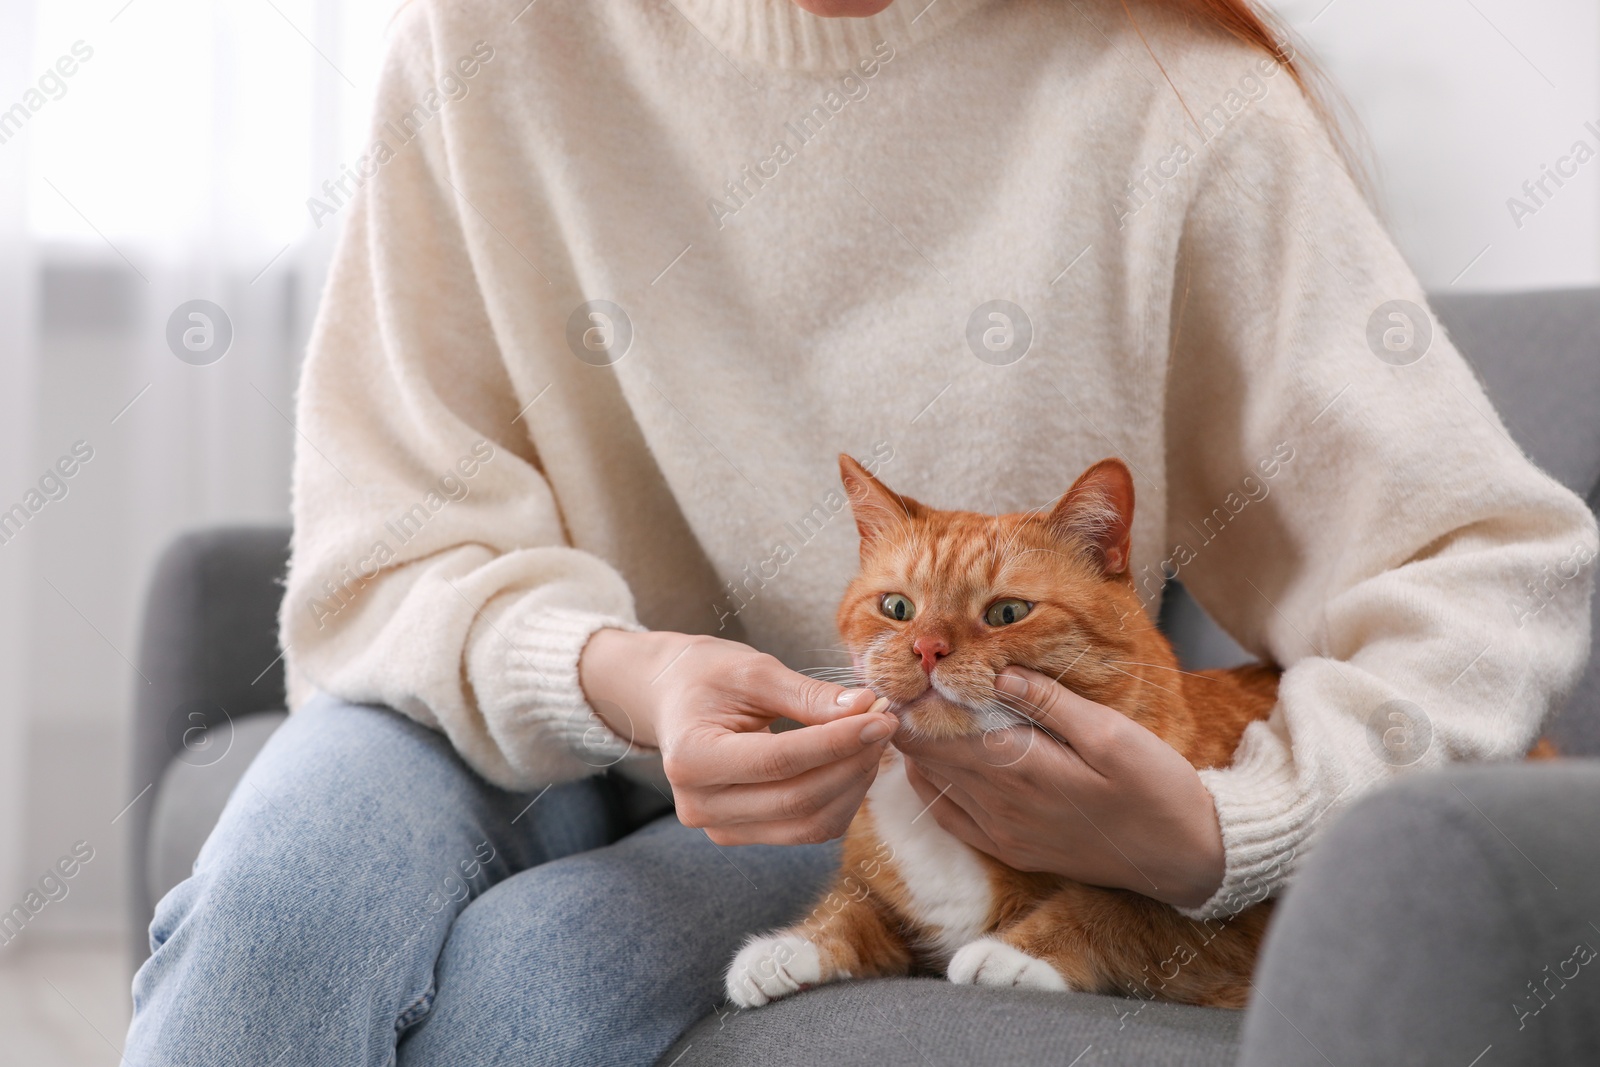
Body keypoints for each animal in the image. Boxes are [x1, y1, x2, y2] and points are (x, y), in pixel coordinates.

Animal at [732, 454, 1280, 1017]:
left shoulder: (1233, 920)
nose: (927, 648)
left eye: (1008, 613)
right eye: (896, 608)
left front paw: (1012, 954)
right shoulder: (881, 900)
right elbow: (847, 909)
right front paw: (781, 952)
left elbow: (1121, 909)